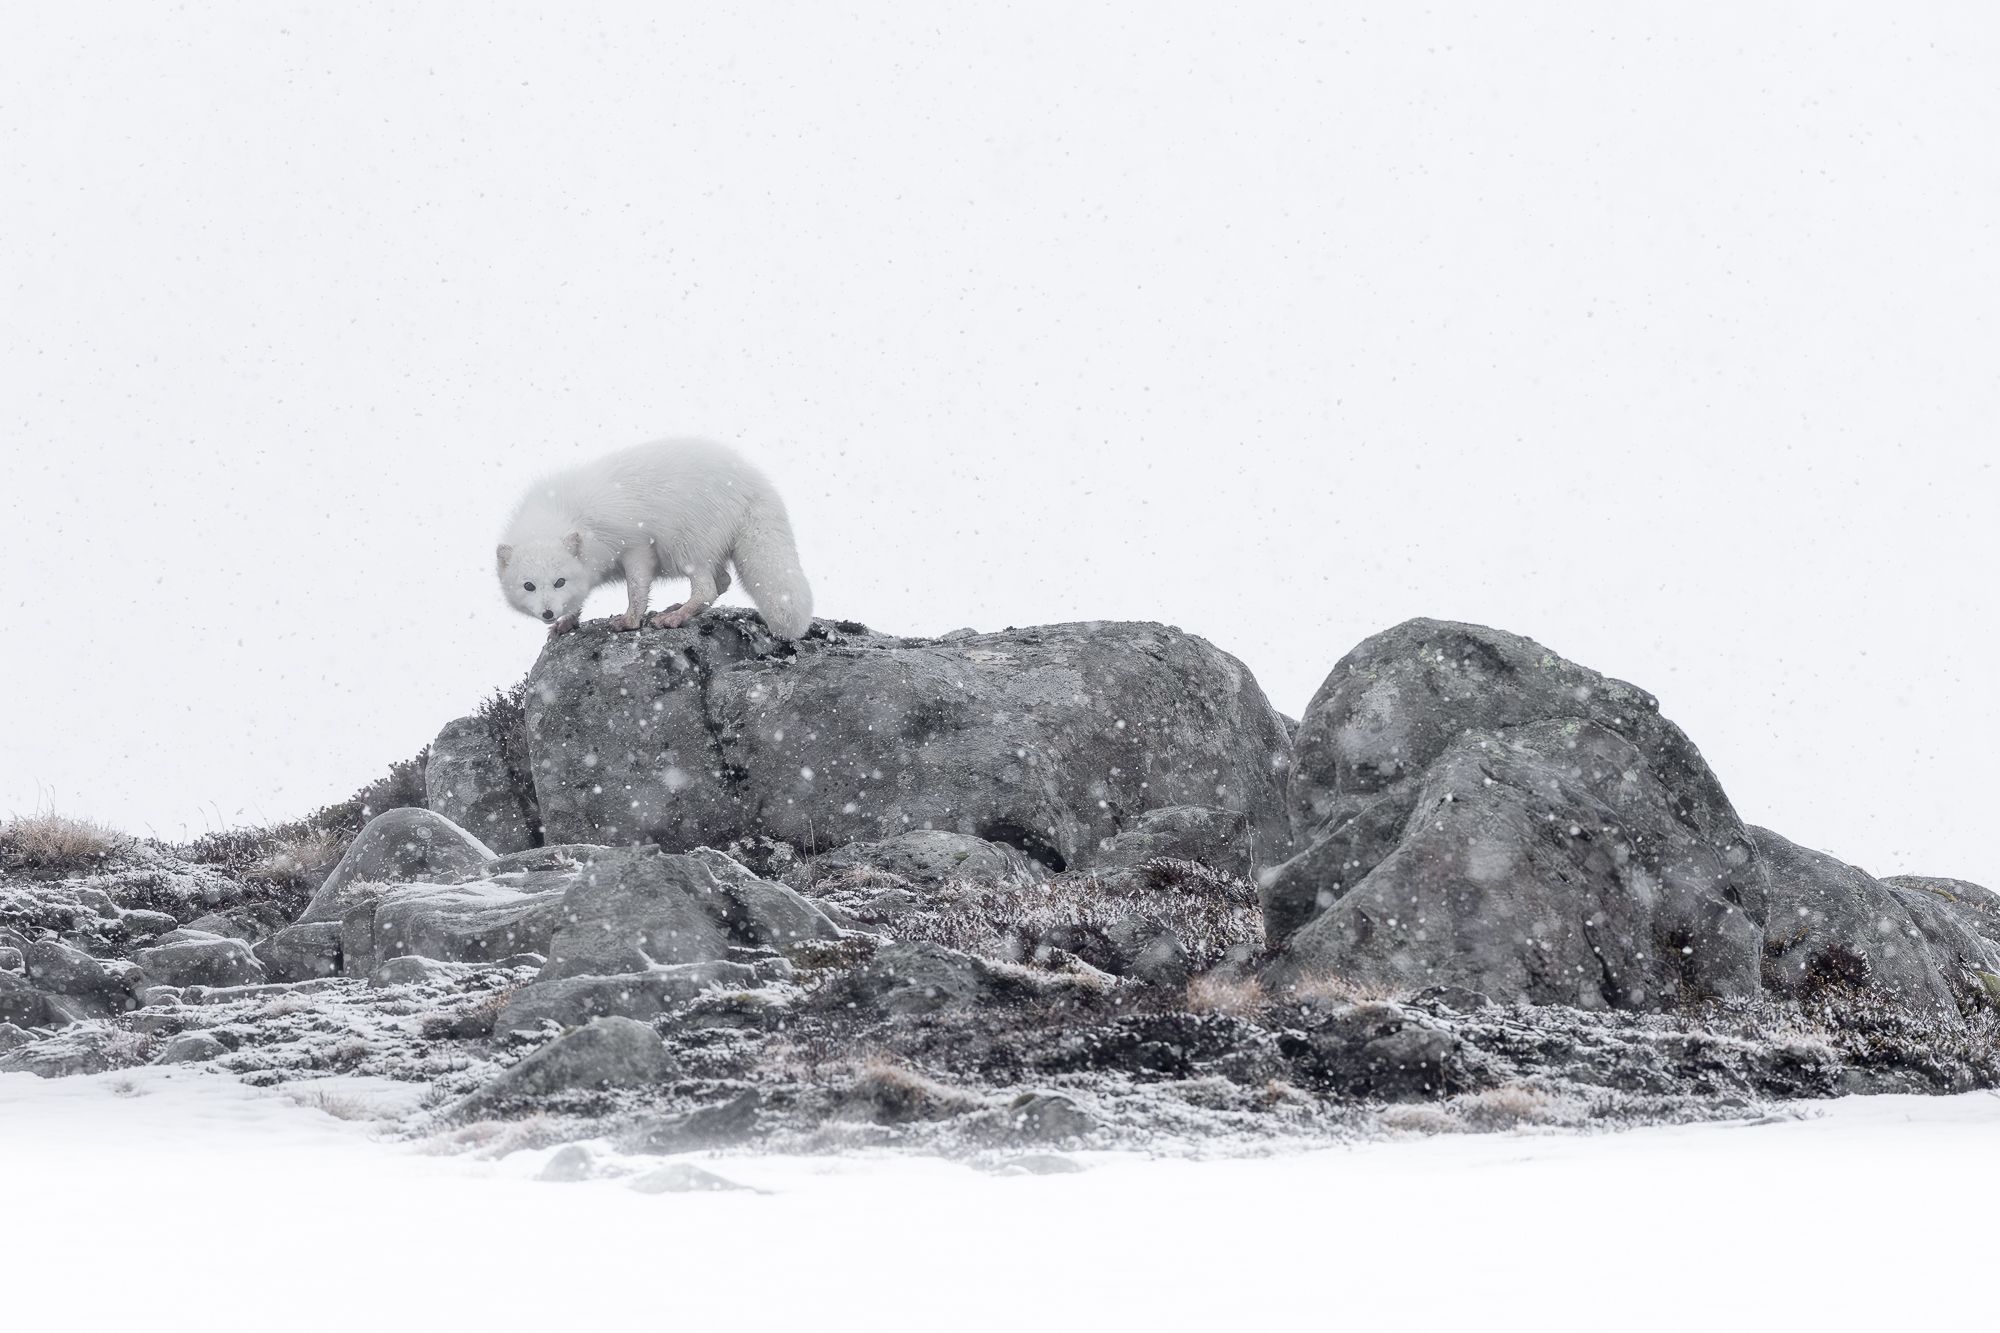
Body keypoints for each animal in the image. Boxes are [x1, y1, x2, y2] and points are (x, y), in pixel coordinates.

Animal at [496, 438, 814, 639]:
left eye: (558, 581)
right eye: (529, 586)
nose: (548, 612)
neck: (563, 515)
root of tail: (752, 479)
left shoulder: (636, 545)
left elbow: (636, 590)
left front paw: (630, 621)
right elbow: (580, 598)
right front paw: (568, 622)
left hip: (685, 546)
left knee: (708, 588)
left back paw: (676, 616)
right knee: (722, 581)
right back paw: (679, 608)